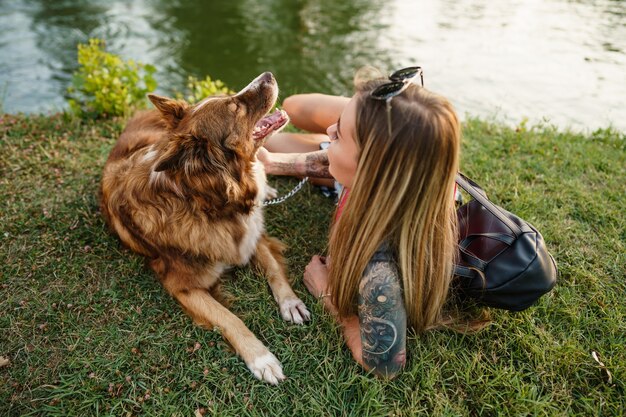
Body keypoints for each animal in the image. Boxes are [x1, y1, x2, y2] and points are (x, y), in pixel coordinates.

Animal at [99, 71, 310, 384]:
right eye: (235, 107)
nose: (268, 75)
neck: (208, 203)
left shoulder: (251, 234)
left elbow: (274, 268)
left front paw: (291, 303)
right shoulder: (182, 286)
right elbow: (229, 318)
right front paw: (261, 357)